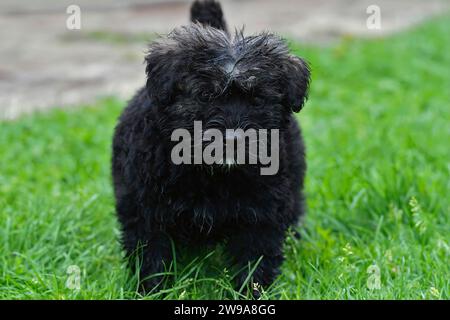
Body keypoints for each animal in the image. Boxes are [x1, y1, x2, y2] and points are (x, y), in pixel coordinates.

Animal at [111, 0, 310, 296]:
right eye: (204, 95)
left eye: (258, 99)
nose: (232, 138)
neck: (212, 175)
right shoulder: (144, 209)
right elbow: (151, 256)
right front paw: (151, 291)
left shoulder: (263, 213)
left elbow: (255, 259)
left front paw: (252, 293)